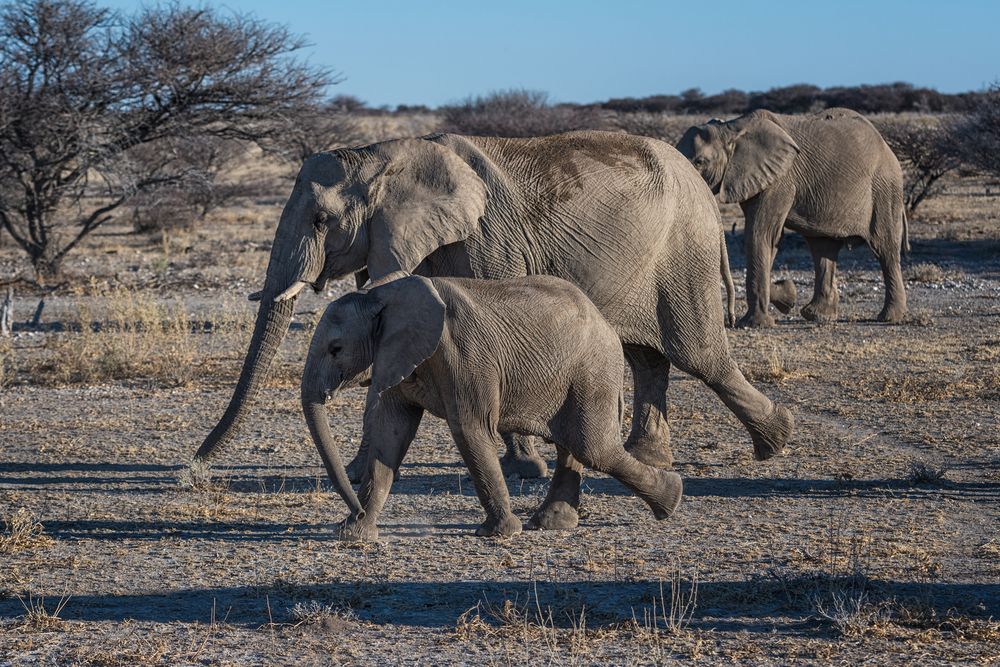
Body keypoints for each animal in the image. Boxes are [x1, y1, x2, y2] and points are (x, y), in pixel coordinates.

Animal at [191, 130, 792, 472]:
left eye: (321, 220)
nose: (193, 466)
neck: (383, 155)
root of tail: (704, 189)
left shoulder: (486, 237)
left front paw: (524, 468)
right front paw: (366, 467)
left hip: (684, 247)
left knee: (698, 354)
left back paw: (776, 441)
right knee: (648, 356)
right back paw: (646, 457)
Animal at [300, 274, 684, 540]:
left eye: (335, 349)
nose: (354, 512)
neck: (382, 296)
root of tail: (605, 322)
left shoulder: (464, 357)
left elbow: (471, 431)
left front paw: (499, 533)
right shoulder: (396, 360)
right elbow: (390, 434)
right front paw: (354, 534)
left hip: (593, 370)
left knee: (594, 447)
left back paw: (672, 499)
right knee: (576, 445)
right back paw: (552, 524)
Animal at [680, 109, 908, 328]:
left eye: (700, 162)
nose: (731, 319)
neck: (731, 127)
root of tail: (886, 146)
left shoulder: (780, 179)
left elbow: (761, 235)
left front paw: (756, 323)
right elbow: (768, 240)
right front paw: (787, 295)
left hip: (884, 189)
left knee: (884, 249)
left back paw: (889, 318)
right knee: (823, 248)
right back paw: (817, 315)